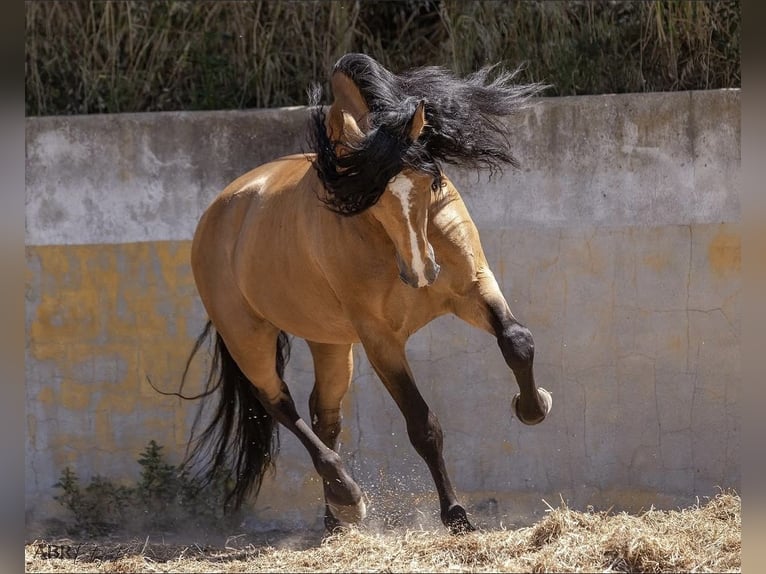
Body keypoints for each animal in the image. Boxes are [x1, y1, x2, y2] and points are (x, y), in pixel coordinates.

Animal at [176, 53, 552, 534]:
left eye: (429, 179)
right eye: (372, 197)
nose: (422, 271)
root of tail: (217, 215)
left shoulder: (473, 288)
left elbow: (517, 341)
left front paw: (532, 406)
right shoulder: (380, 340)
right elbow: (422, 425)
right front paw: (455, 514)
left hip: (329, 342)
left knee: (324, 414)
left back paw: (335, 519)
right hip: (248, 337)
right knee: (280, 404)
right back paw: (348, 497)